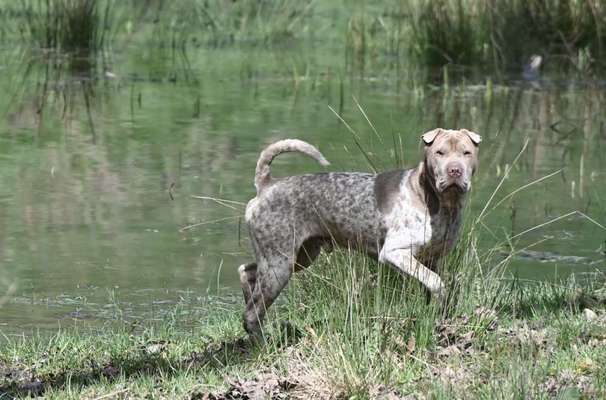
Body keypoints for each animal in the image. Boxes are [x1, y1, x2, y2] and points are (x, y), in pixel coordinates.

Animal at [240, 129, 482, 334]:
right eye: (439, 152)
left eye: (466, 152)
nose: (455, 171)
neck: (440, 202)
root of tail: (266, 185)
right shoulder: (395, 253)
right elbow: (436, 282)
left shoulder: (432, 259)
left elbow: (430, 285)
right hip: (280, 265)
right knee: (251, 313)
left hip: (297, 257)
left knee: (247, 273)